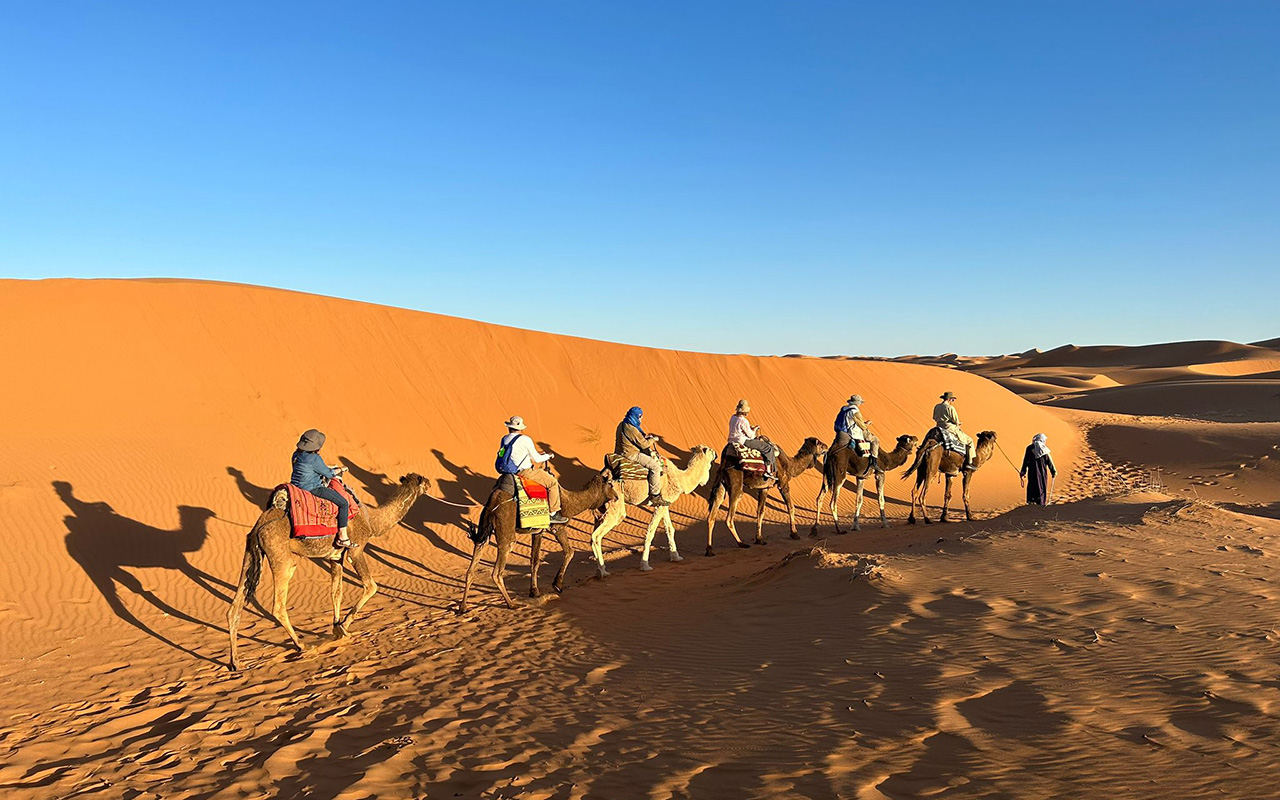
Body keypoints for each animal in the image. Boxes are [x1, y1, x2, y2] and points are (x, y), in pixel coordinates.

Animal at [227, 473, 431, 671]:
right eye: (421, 480)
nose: (429, 483)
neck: (371, 521)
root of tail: (260, 525)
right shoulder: (356, 549)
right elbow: (371, 586)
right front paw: (344, 626)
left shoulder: (336, 557)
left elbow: (336, 592)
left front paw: (337, 627)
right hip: (282, 558)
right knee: (278, 606)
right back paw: (302, 646)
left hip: (250, 551)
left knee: (235, 607)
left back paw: (236, 662)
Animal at [458, 468, 619, 614]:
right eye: (610, 484)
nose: (617, 496)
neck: (569, 501)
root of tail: (493, 502)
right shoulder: (558, 528)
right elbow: (570, 552)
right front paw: (557, 584)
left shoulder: (538, 532)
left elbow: (534, 562)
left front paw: (534, 591)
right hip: (506, 531)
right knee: (497, 572)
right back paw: (511, 604)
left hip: (484, 528)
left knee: (472, 566)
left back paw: (463, 607)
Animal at [587, 445, 718, 577]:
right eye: (710, 451)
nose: (716, 454)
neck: (680, 478)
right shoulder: (661, 503)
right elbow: (650, 532)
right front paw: (645, 565)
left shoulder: (664, 503)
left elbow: (670, 529)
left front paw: (676, 557)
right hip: (616, 504)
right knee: (597, 536)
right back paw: (602, 571)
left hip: (600, 509)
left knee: (593, 535)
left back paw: (600, 570)